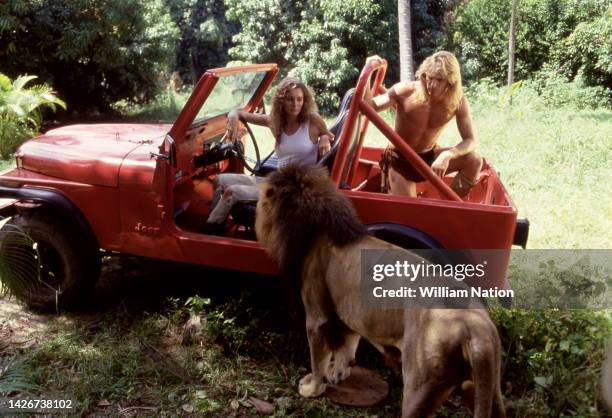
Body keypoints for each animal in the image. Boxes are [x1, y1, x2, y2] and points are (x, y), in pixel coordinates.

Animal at [256, 165, 504, 416]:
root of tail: (475, 328)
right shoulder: (349, 312)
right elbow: (347, 346)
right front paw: (339, 373)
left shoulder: (318, 314)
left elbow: (318, 359)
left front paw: (313, 388)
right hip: (490, 388)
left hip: (419, 385)